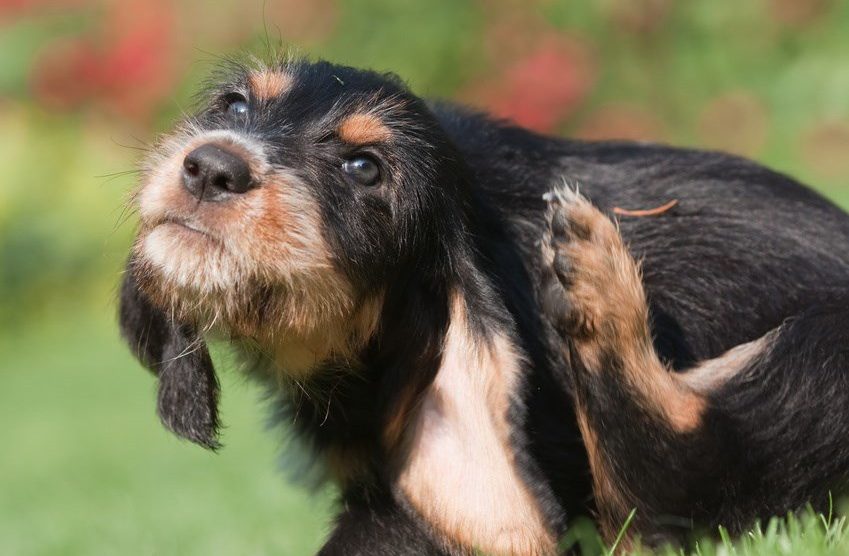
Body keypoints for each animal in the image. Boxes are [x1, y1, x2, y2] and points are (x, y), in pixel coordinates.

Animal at [121, 57, 849, 556]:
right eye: (235, 105)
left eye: (364, 168)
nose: (211, 166)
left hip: (821, 355)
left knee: (675, 481)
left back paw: (597, 282)